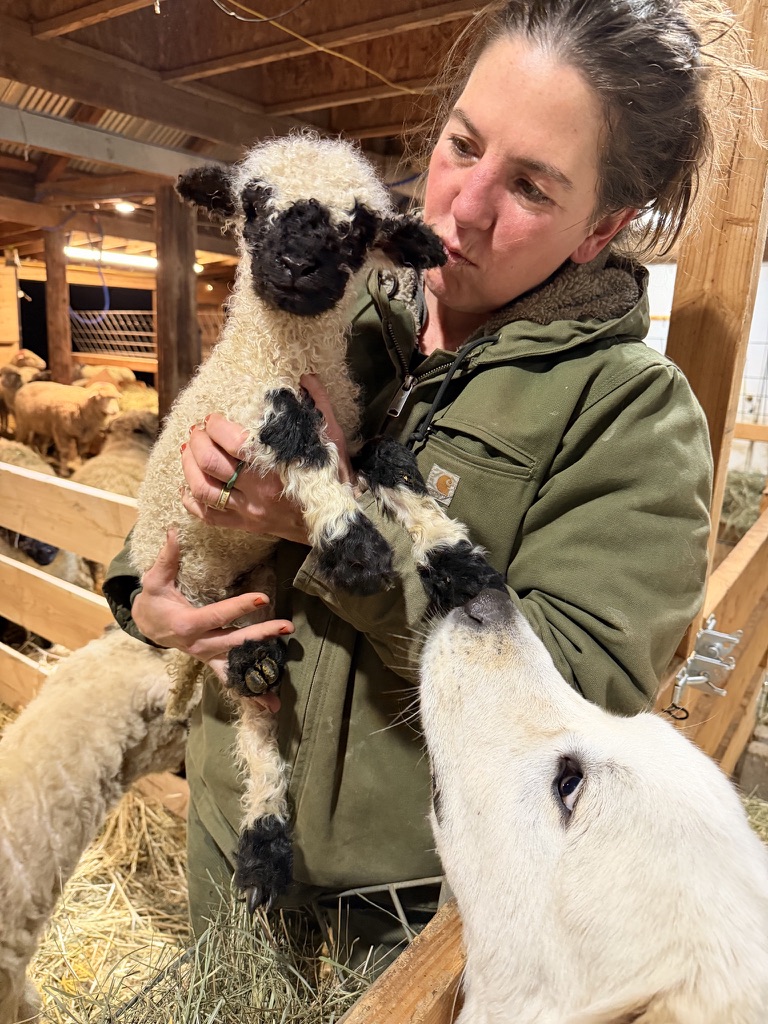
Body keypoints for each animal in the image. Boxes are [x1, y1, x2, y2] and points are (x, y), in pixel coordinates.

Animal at [129, 132, 505, 912]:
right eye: (252, 204)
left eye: (359, 228)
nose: (298, 266)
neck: (284, 352)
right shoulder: (248, 407)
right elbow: (299, 435)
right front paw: (355, 546)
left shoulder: (355, 431)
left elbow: (389, 460)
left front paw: (454, 558)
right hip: (199, 590)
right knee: (251, 711)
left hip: (253, 583)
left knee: (260, 712)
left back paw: (266, 849)